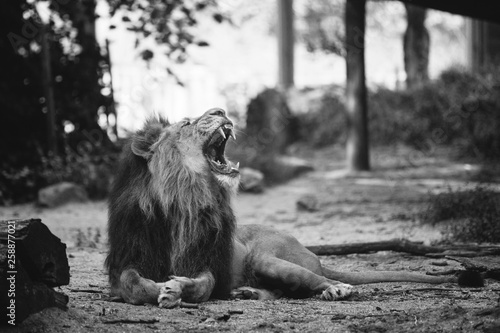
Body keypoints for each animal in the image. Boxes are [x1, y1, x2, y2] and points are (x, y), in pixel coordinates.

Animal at [104, 107, 472, 308]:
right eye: (184, 124)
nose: (220, 111)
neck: (182, 198)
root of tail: (313, 253)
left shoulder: (207, 260)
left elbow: (202, 285)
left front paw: (174, 289)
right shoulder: (129, 256)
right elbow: (132, 283)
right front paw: (157, 288)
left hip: (269, 259)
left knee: (317, 280)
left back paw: (336, 289)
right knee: (284, 291)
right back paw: (247, 293)